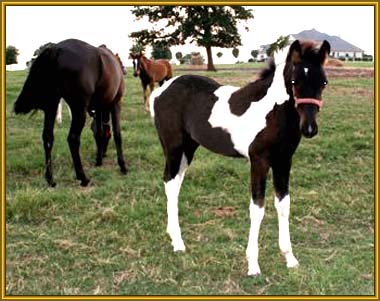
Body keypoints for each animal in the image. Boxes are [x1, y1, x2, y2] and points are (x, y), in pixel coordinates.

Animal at [14, 38, 128, 186]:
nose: (104, 153)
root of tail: (56, 49)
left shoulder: (98, 108)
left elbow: (99, 132)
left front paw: (99, 160)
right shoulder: (115, 103)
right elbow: (117, 134)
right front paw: (122, 165)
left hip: (51, 105)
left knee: (48, 138)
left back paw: (50, 180)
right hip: (78, 110)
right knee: (73, 139)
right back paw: (82, 177)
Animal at [148, 39, 330, 274]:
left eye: (324, 82)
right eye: (293, 81)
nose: (309, 128)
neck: (272, 113)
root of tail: (160, 91)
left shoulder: (284, 161)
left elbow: (283, 206)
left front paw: (290, 258)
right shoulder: (259, 161)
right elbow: (257, 208)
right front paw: (253, 265)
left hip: (188, 149)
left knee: (175, 183)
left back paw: (173, 236)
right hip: (174, 147)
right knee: (170, 183)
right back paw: (178, 243)